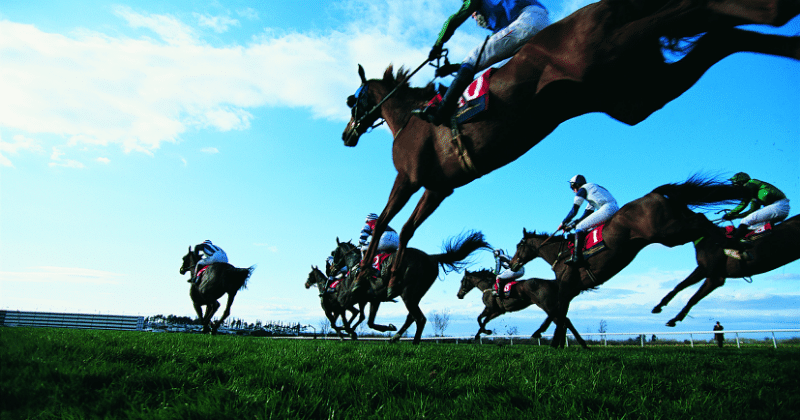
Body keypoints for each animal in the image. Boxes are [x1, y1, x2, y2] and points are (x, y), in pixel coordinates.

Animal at [330, 230, 488, 344]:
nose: (331, 269)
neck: (356, 266)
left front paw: (348, 331)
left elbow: (345, 312)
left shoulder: (351, 297)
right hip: (414, 294)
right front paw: (388, 327)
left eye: (333, 253)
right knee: (411, 317)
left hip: (408, 294)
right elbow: (368, 321)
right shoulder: (374, 298)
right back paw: (395, 337)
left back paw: (414, 343)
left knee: (420, 318)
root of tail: (431, 257)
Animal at [340, 0, 796, 302]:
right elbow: (407, 229)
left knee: (698, 14)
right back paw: (786, 39)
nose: (346, 135)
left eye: (353, 100)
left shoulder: (410, 177)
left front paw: (366, 277)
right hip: (635, 93)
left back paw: (775, 10)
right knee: (722, 36)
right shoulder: (440, 187)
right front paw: (387, 278)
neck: (409, 117)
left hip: (610, 54)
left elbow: (386, 224)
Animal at [456, 270, 588, 348]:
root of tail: (553, 282)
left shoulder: (496, 310)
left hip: (546, 305)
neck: (489, 287)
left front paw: (485, 332)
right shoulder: (493, 310)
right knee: (565, 321)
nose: (459, 295)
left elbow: (483, 320)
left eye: (462, 281)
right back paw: (570, 344)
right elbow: (480, 319)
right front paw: (478, 335)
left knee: (563, 322)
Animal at [510, 177, 748, 348]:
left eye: (518, 245)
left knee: (700, 220)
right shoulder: (572, 289)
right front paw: (553, 340)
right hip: (675, 228)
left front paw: (549, 339)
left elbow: (559, 313)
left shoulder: (568, 284)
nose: (512, 265)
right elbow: (560, 313)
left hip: (666, 231)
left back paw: (732, 243)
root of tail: (654, 193)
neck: (559, 254)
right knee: (700, 220)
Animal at [652, 213, 796, 324]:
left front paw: (672, 315)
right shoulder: (711, 275)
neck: (710, 239)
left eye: (677, 222)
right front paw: (662, 309)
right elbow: (684, 289)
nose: (659, 235)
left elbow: (689, 293)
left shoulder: (709, 272)